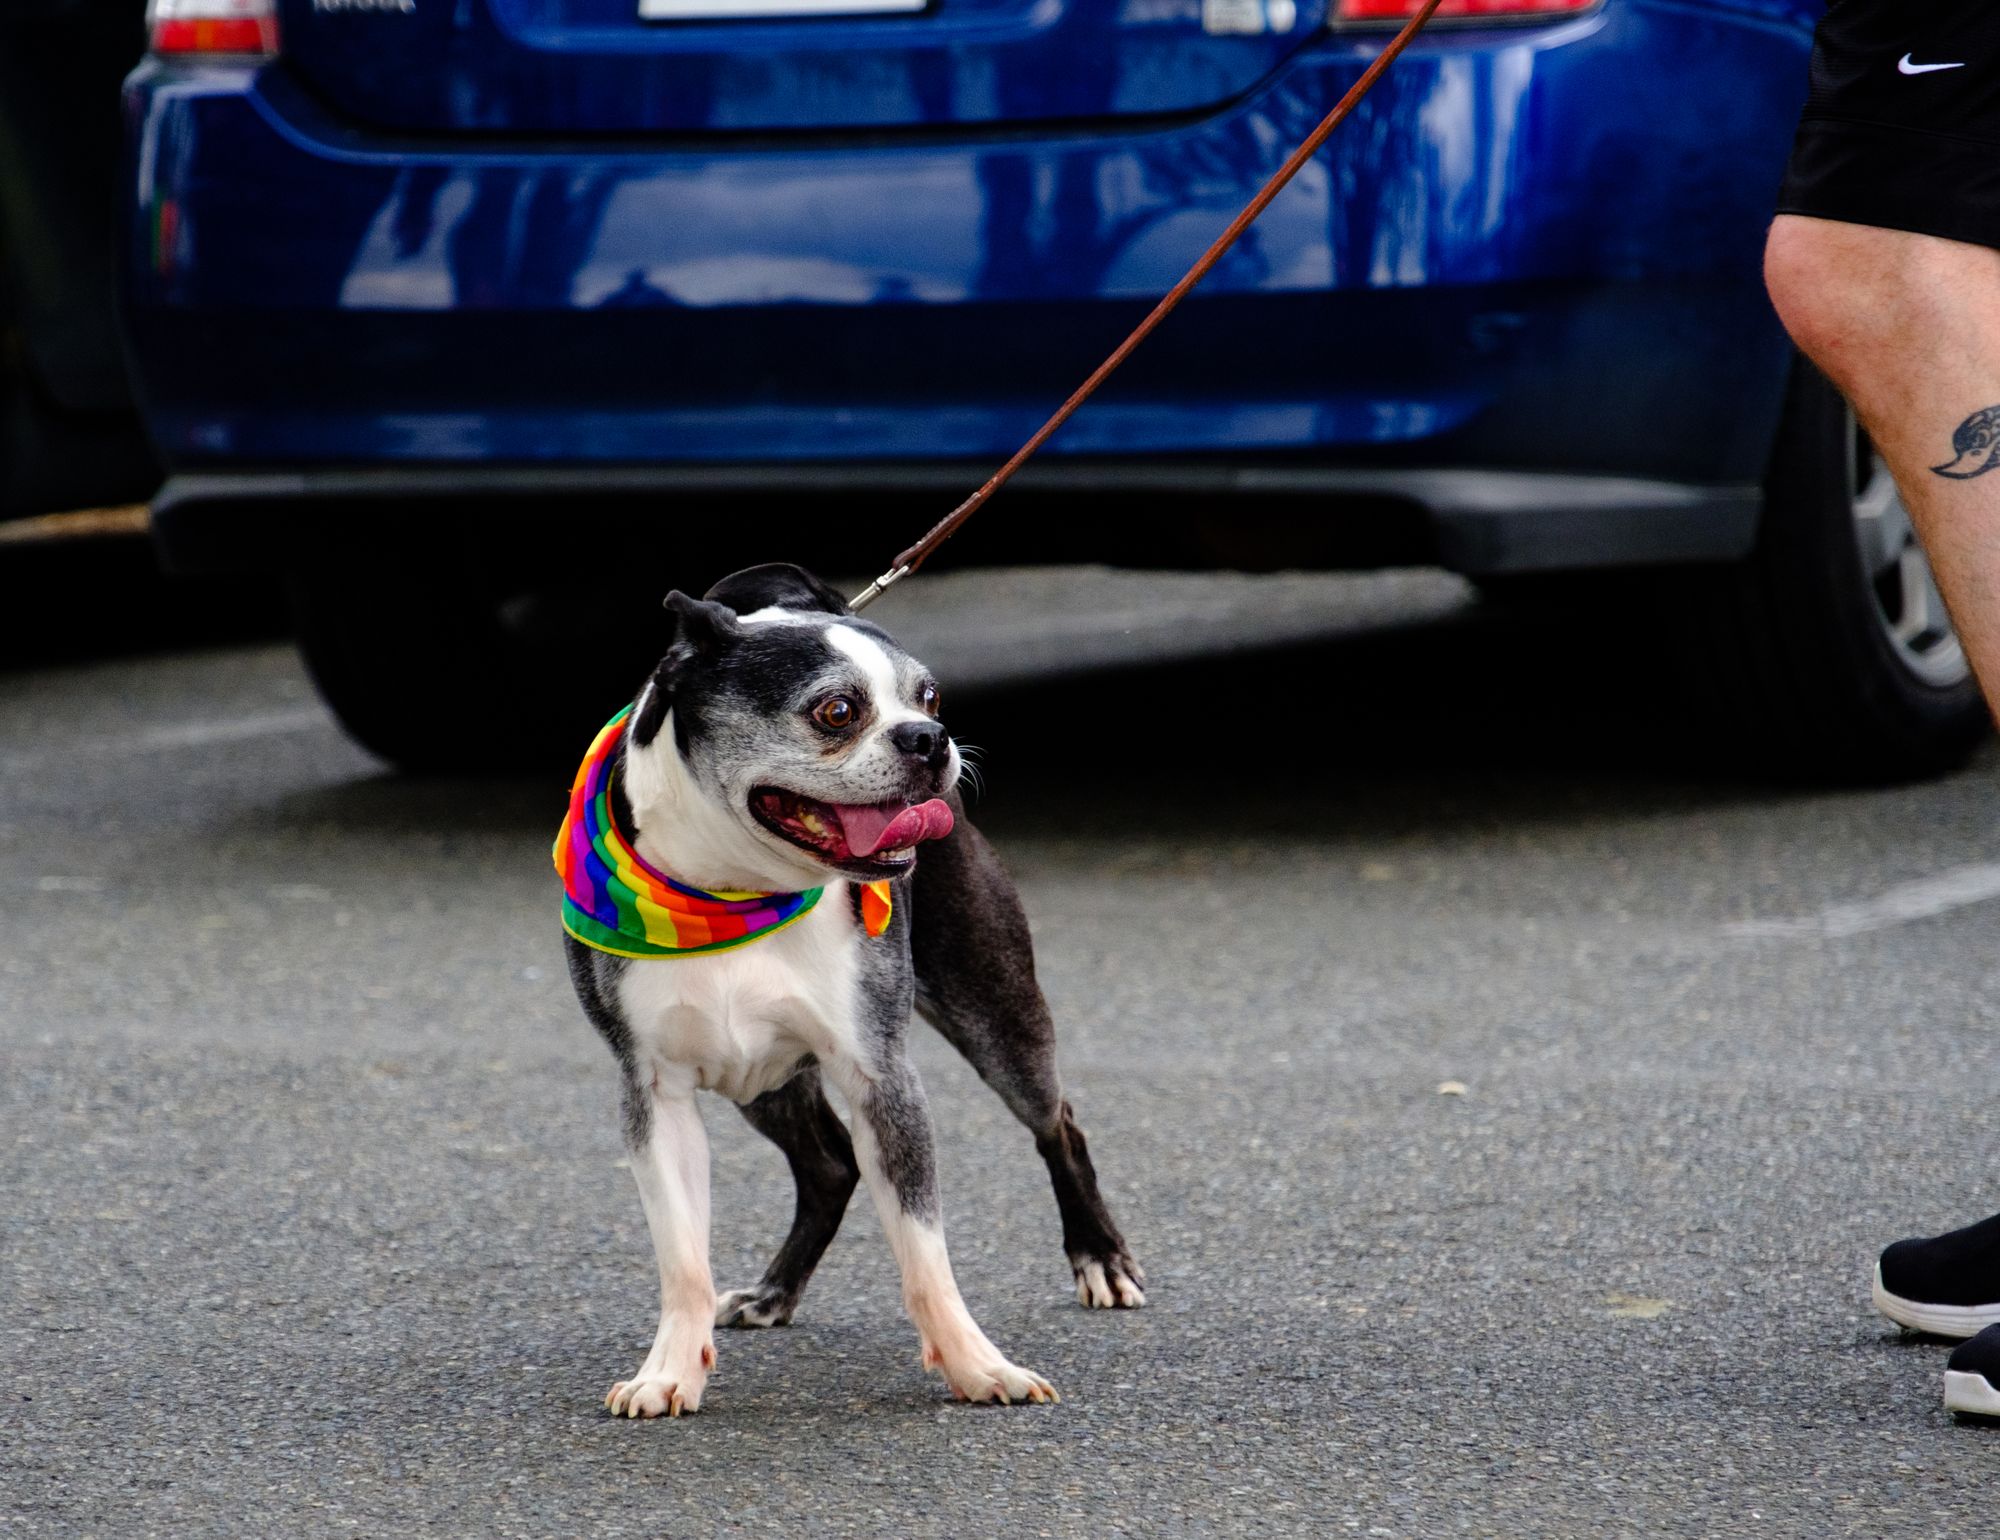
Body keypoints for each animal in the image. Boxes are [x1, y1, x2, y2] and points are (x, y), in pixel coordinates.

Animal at [556, 560, 1144, 1408]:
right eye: (835, 711)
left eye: (931, 697)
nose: (930, 738)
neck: (735, 890)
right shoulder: (654, 1095)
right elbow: (683, 1260)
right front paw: (668, 1371)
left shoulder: (882, 1077)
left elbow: (926, 1255)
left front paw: (978, 1367)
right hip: (761, 1078)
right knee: (829, 1166)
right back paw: (774, 1293)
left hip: (998, 1020)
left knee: (1056, 1122)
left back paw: (1100, 1257)